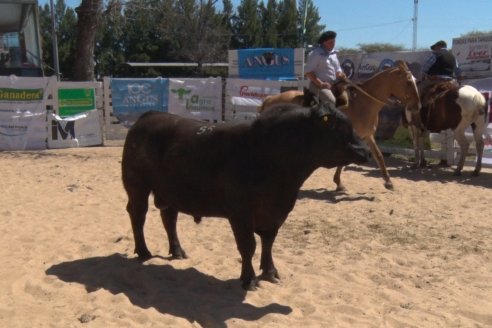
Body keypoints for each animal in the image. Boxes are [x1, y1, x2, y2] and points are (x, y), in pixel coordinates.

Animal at [122, 104, 368, 290]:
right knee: (138, 216)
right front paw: (248, 279)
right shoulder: (240, 214)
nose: (365, 150)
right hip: (137, 186)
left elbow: (268, 242)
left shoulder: (276, 212)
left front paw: (270, 272)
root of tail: (149, 115)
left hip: (171, 192)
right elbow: (248, 245)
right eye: (338, 127)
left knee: (169, 219)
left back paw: (178, 251)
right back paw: (143, 251)